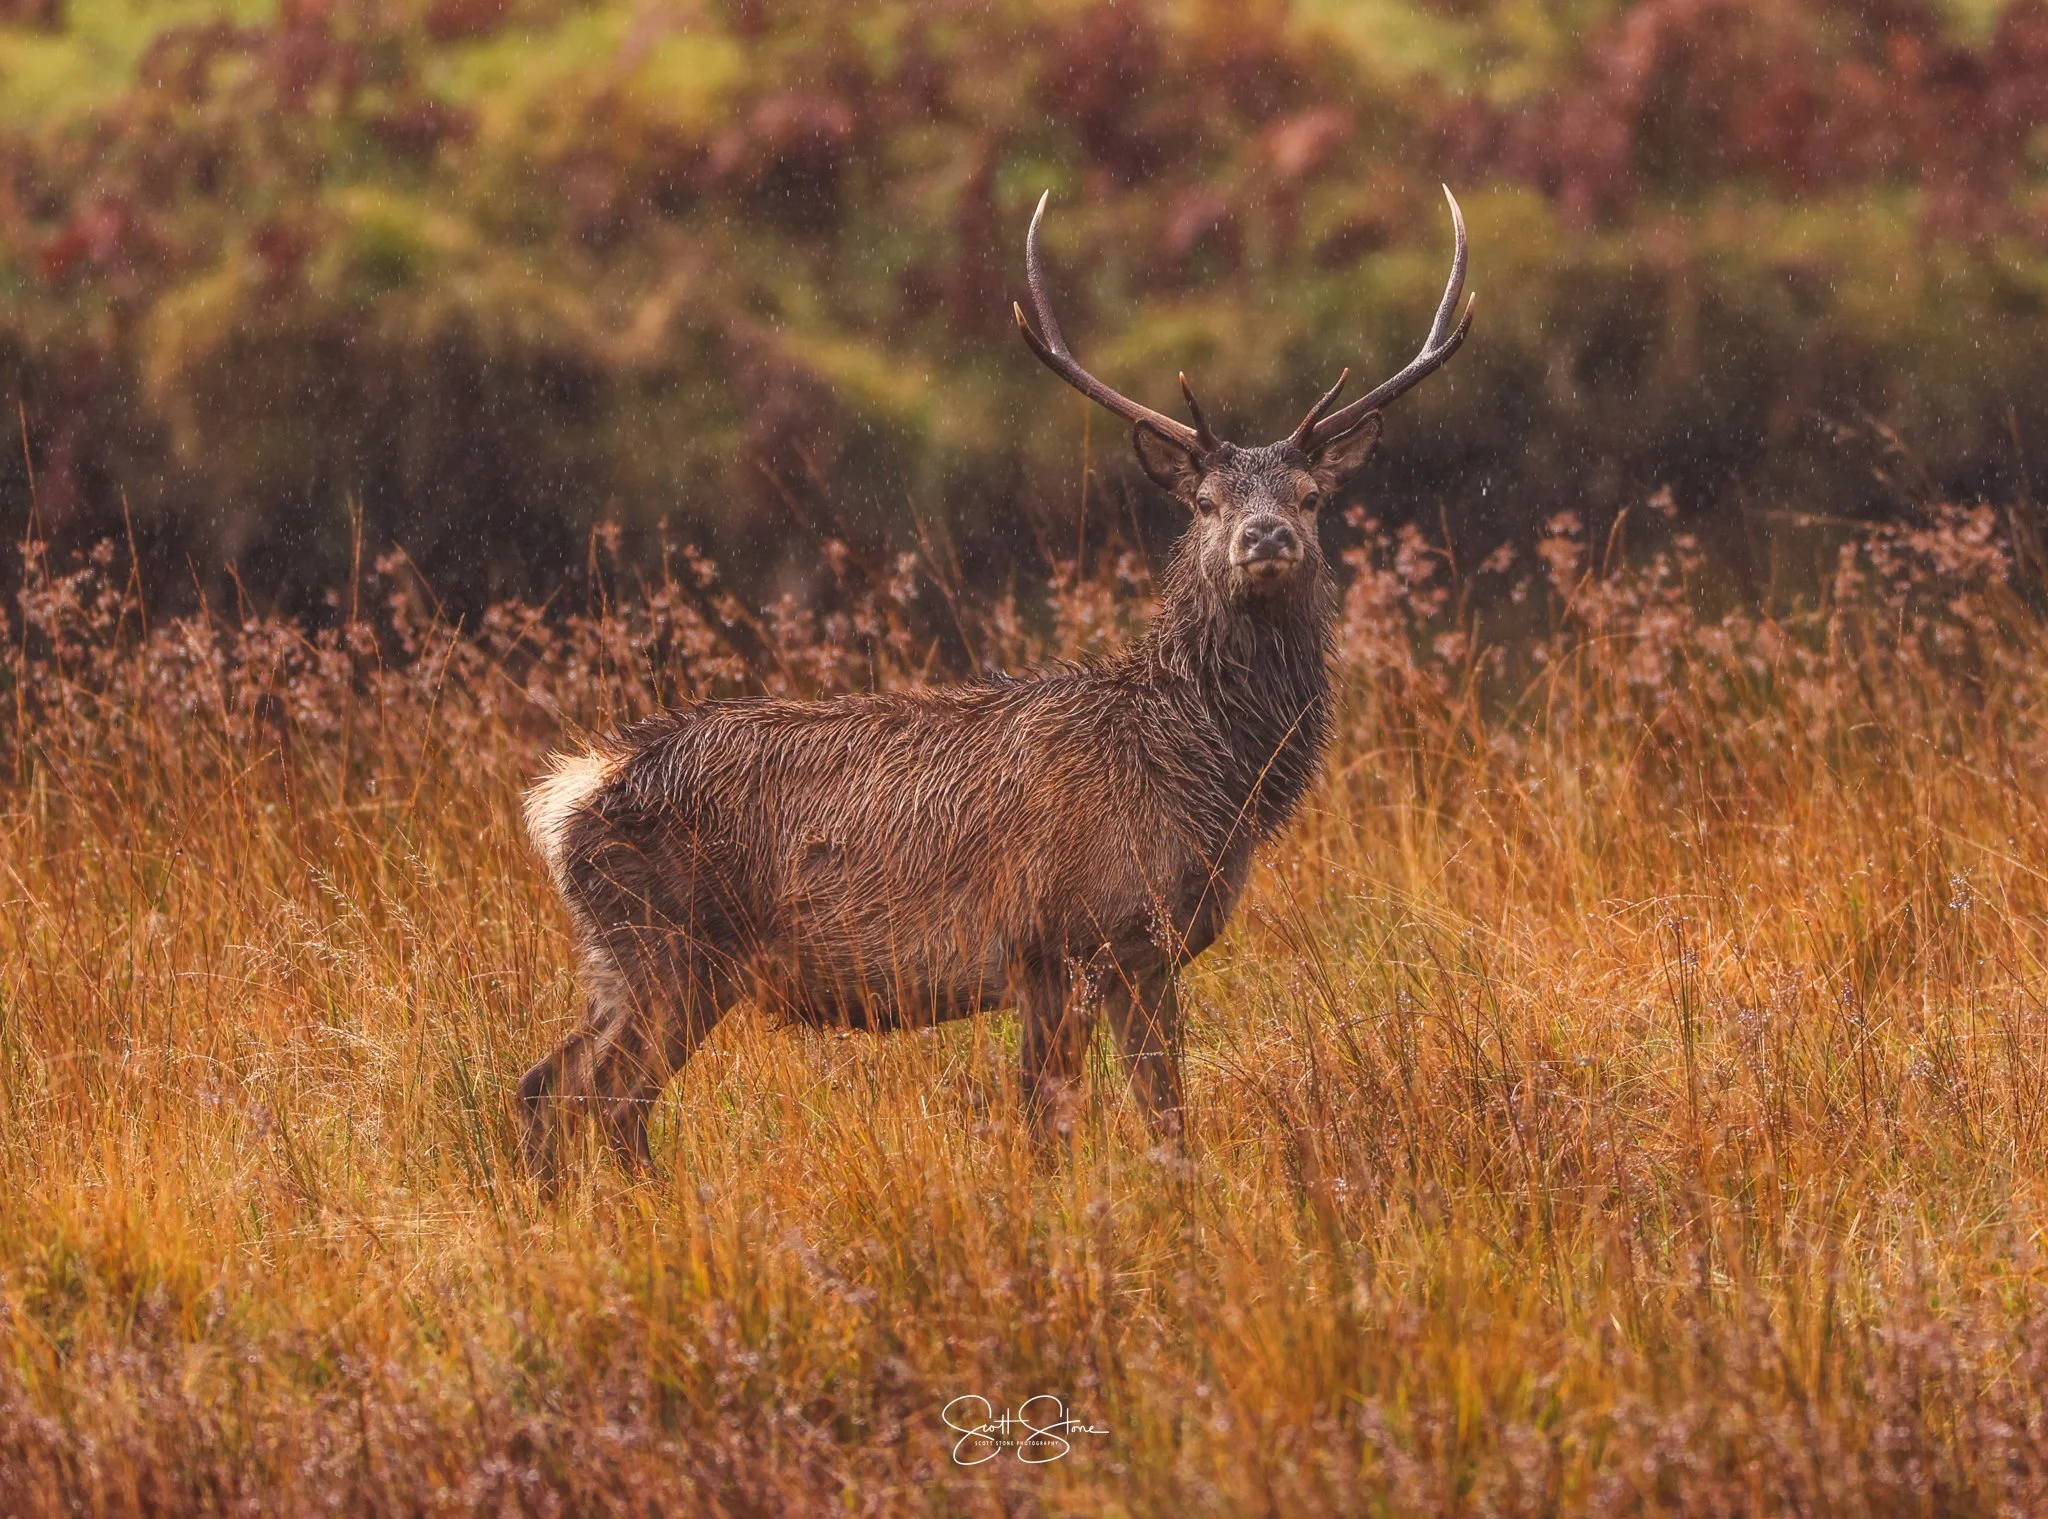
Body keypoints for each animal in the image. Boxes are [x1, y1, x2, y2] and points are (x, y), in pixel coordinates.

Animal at [515, 187, 1472, 1180]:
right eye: (1205, 503)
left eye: (1311, 499)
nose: (1266, 536)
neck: (1208, 773)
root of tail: (568, 791)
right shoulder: (1056, 939)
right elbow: (1049, 1120)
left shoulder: (1149, 952)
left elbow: (1168, 1119)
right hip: (669, 947)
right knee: (599, 1094)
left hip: (623, 959)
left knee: (549, 1085)